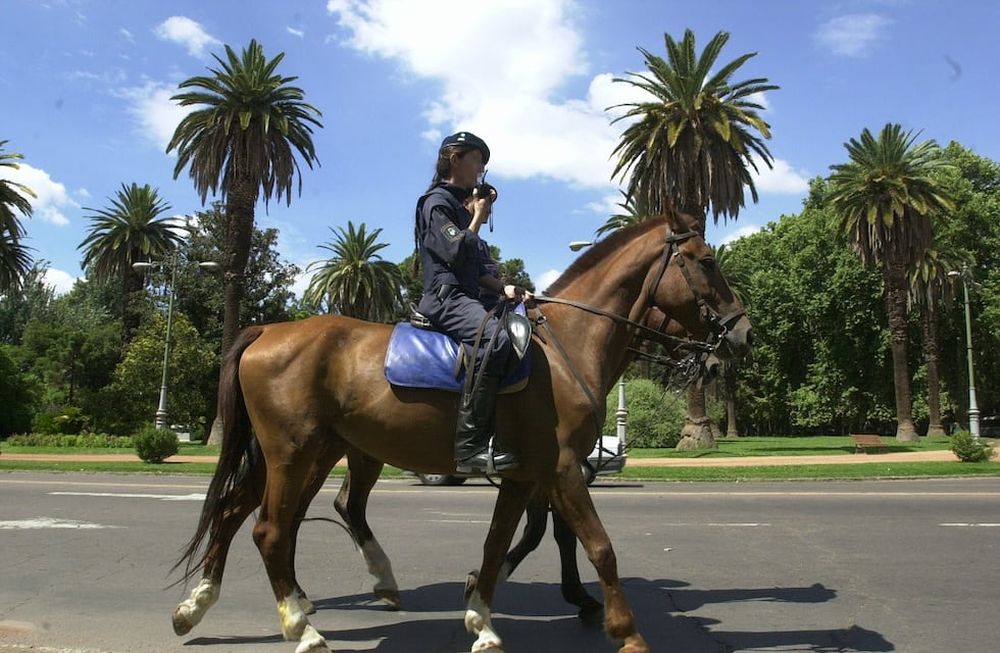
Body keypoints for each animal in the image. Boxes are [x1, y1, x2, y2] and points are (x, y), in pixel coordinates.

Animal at [172, 212, 751, 653]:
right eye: (706, 260)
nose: (741, 334)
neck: (566, 345)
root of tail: (267, 329)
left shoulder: (524, 475)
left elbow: (500, 543)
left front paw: (481, 616)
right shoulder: (563, 468)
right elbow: (598, 546)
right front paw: (627, 632)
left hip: (301, 455)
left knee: (242, 514)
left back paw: (199, 606)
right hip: (294, 455)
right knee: (272, 529)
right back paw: (303, 627)